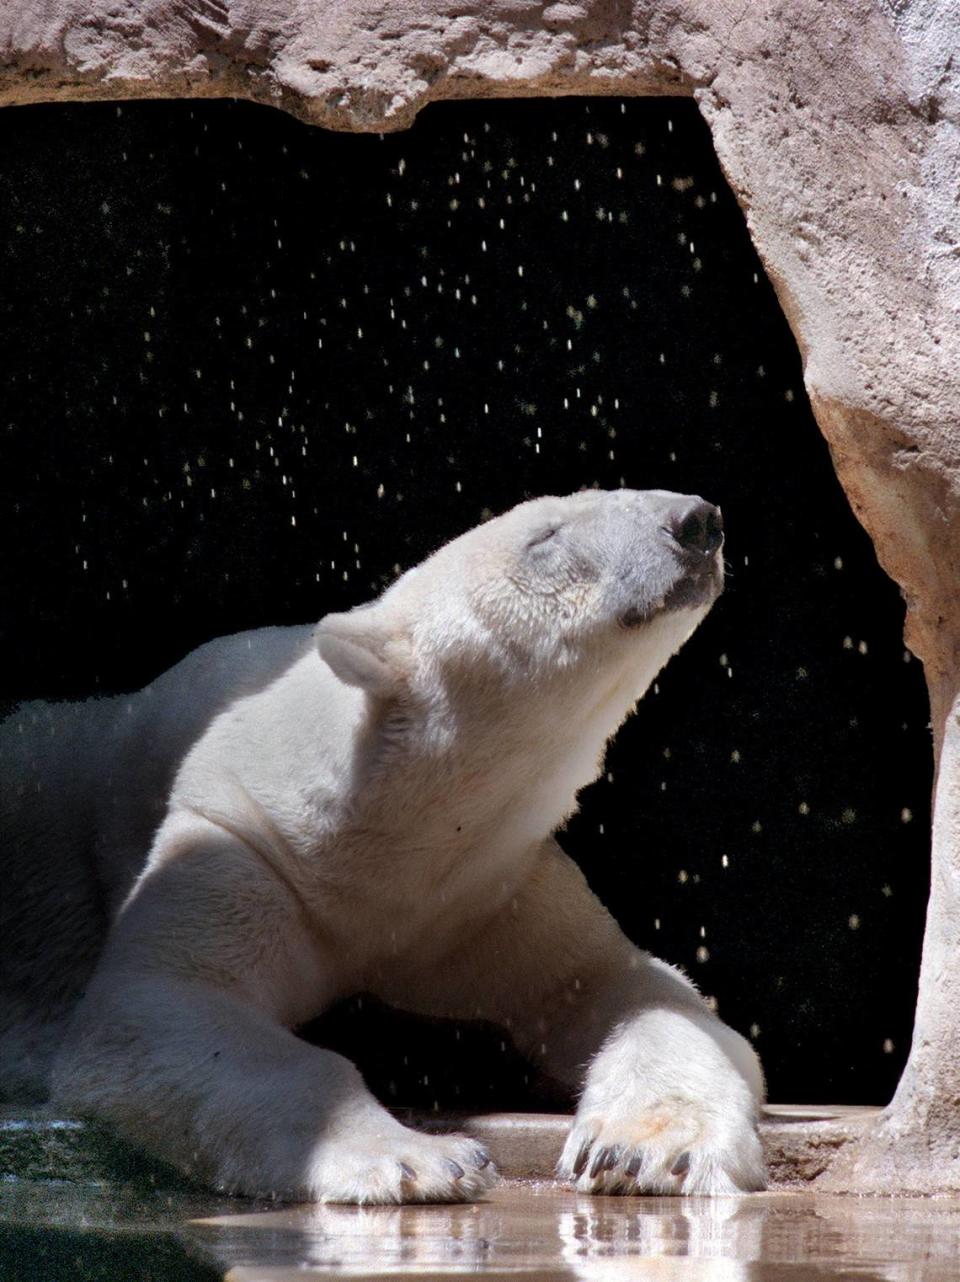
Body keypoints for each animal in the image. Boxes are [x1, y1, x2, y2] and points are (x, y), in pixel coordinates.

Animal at [0, 487, 763, 1199]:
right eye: (545, 537)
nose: (697, 521)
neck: (388, 838)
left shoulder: (486, 893)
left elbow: (626, 985)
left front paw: (645, 1148)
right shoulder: (241, 842)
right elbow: (160, 1004)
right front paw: (422, 1159)